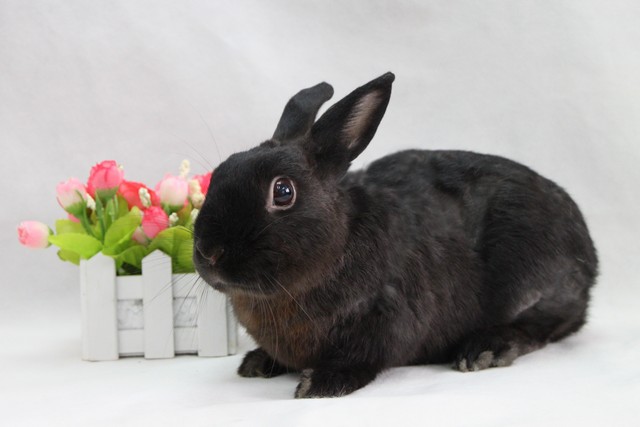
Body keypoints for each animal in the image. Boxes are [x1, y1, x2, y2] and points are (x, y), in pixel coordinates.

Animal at [193, 72, 598, 398]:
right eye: (220, 172)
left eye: (283, 192)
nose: (209, 252)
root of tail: (588, 251)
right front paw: (257, 362)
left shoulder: (388, 319)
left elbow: (363, 359)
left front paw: (320, 383)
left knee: (543, 326)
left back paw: (485, 349)